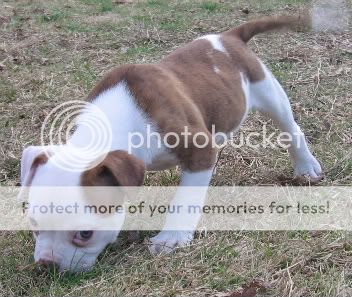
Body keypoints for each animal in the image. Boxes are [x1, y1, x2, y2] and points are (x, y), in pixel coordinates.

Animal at [22, 15, 324, 270]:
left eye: (85, 233)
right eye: (34, 223)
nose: (46, 264)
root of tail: (228, 36)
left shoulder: (199, 149)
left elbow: (185, 198)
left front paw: (172, 237)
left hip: (268, 91)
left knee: (290, 128)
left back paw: (306, 167)